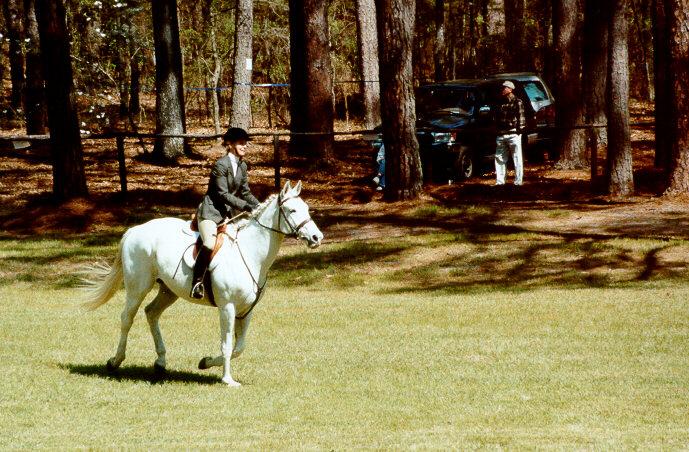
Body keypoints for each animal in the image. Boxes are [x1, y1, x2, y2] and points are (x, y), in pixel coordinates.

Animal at [80, 180, 322, 384]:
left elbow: (239, 347)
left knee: (151, 313)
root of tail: (134, 230)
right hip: (137, 287)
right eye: (292, 210)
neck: (252, 253)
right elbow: (227, 345)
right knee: (127, 319)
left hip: (168, 290)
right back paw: (115, 361)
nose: (317, 238)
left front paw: (205, 363)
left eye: (307, 208)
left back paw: (160, 362)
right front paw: (227, 380)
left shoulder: (246, 310)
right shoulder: (227, 307)